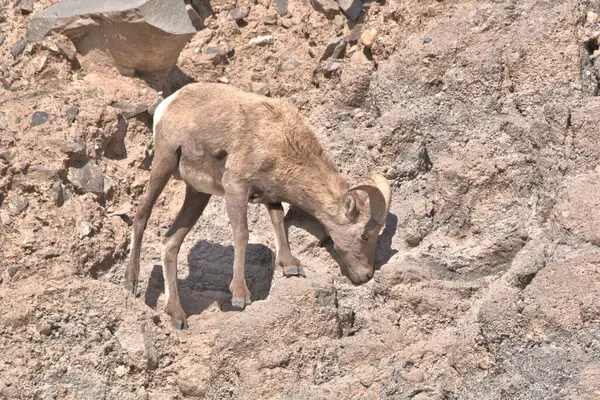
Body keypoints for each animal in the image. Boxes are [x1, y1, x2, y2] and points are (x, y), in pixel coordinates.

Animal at [124, 83, 392, 330]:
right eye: (365, 235)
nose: (366, 275)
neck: (280, 139)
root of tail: (168, 103)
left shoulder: (268, 194)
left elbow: (278, 217)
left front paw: (290, 265)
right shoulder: (235, 187)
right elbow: (242, 234)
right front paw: (240, 296)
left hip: (198, 194)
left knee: (170, 243)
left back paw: (177, 316)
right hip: (164, 162)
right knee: (142, 214)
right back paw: (130, 282)